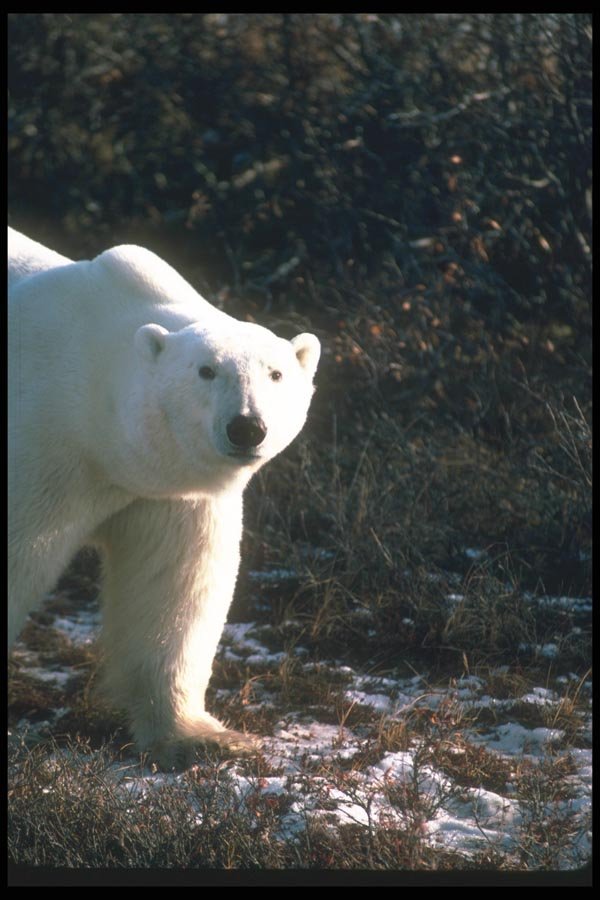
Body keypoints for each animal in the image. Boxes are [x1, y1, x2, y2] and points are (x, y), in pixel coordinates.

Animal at [8, 227, 320, 768]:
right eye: (206, 371)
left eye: (276, 374)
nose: (247, 427)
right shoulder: (42, 447)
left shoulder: (168, 493)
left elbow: (173, 587)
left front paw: (200, 737)